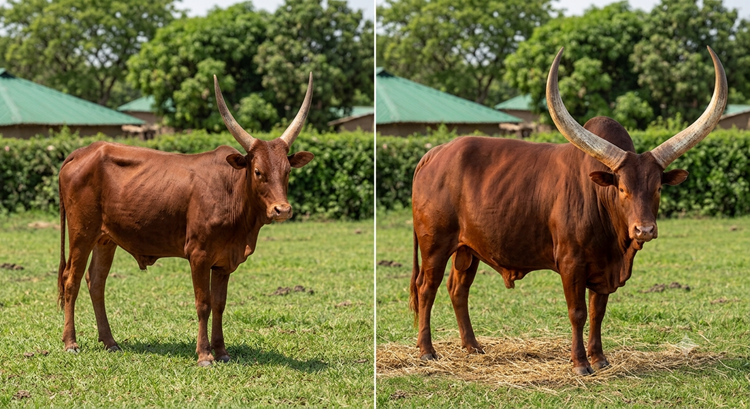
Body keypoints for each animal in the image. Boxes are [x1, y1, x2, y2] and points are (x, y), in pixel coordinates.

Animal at [57, 73, 315, 366]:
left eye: (287, 171)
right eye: (258, 171)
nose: (282, 210)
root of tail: (82, 151)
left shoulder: (224, 261)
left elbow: (219, 304)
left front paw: (222, 351)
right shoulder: (199, 255)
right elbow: (203, 304)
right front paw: (204, 354)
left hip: (105, 239)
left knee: (96, 282)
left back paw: (110, 342)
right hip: (82, 232)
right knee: (71, 280)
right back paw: (70, 342)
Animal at [409, 47, 727, 375]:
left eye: (658, 188)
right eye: (622, 189)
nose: (645, 230)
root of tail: (434, 153)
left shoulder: (604, 269)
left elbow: (598, 312)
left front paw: (599, 358)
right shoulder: (571, 263)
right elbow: (578, 312)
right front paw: (580, 363)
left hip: (468, 248)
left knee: (458, 289)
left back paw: (472, 346)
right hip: (434, 244)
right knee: (426, 288)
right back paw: (426, 351)